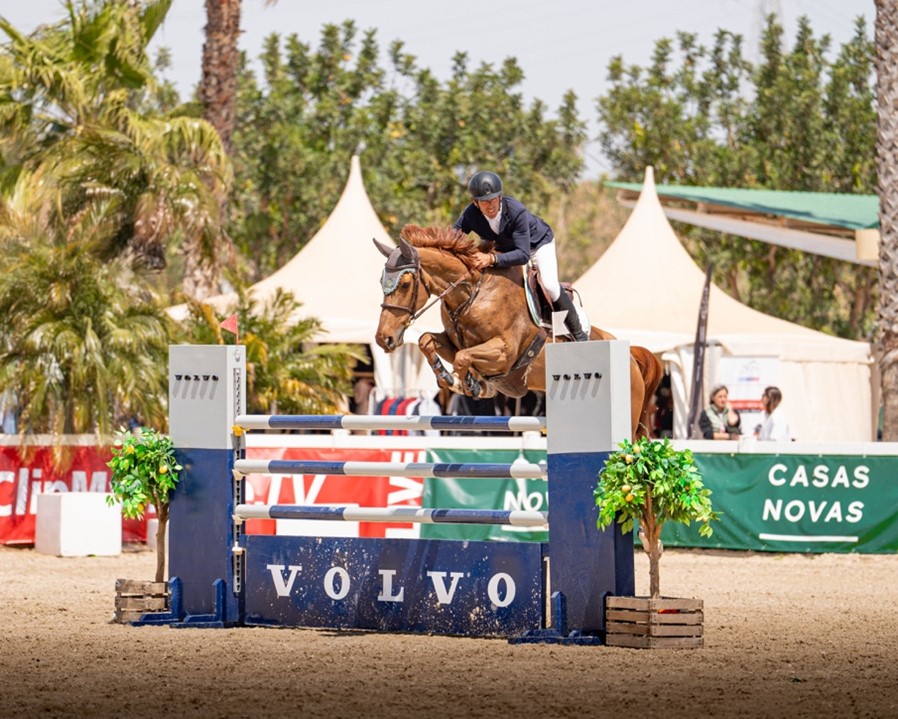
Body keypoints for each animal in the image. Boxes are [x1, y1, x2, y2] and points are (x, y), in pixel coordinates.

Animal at [374, 226, 660, 438]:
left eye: (405, 283)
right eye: (381, 282)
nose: (383, 339)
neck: (473, 293)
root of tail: (631, 356)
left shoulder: (504, 352)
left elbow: (463, 358)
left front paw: (473, 385)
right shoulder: (454, 342)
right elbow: (428, 341)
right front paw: (451, 379)